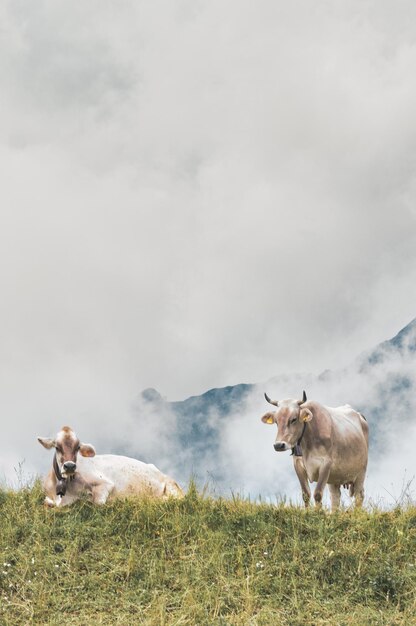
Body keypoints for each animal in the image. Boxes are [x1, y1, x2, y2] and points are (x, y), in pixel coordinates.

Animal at [37, 424, 184, 508]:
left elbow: (97, 502)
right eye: (57, 447)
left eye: (78, 447)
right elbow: (46, 501)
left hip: (172, 487)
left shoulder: (105, 484)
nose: (70, 466)